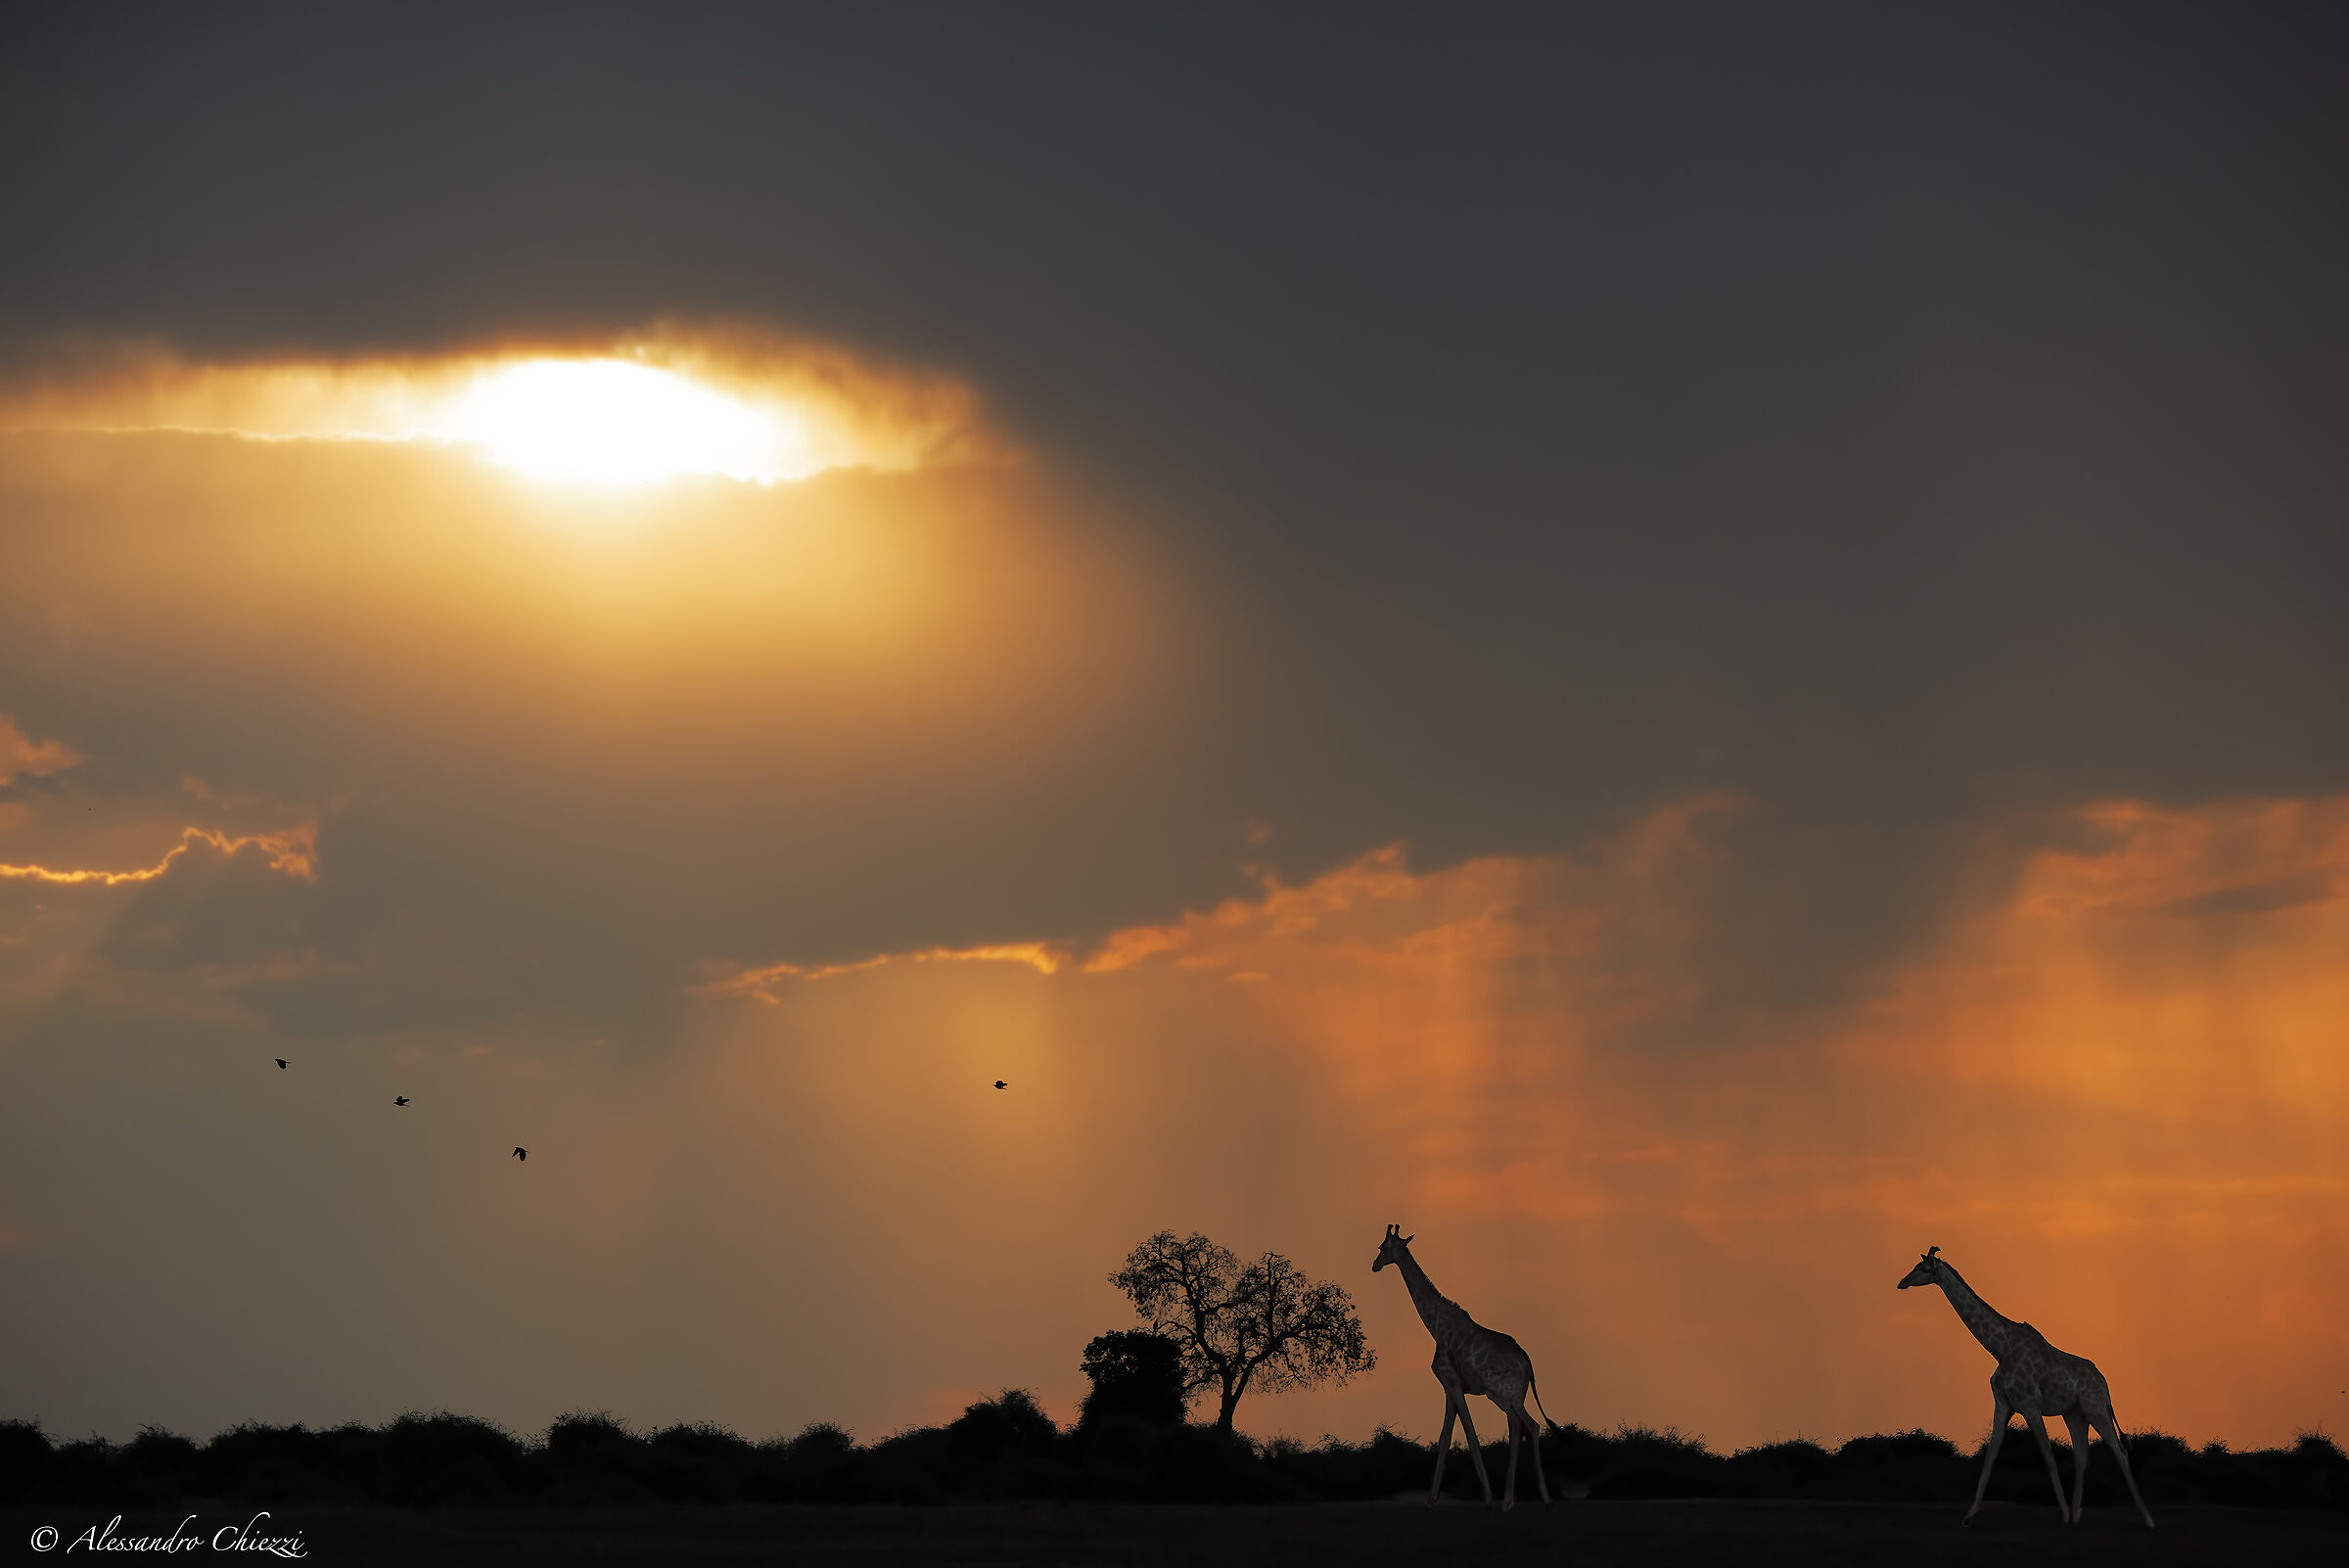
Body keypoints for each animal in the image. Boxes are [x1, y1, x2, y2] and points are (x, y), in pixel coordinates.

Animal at [1372, 1224, 1556, 1510]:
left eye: (1382, 1247)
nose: (1374, 1265)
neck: (1436, 1326)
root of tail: (1528, 1362)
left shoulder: (1452, 1382)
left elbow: (1468, 1433)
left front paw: (1487, 1497)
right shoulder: (1449, 1387)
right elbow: (1446, 1435)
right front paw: (1432, 1498)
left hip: (1502, 1394)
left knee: (1527, 1425)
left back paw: (1514, 1499)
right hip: (1514, 1397)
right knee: (1524, 1427)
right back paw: (1530, 1499)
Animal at [1897, 1247, 2155, 1529]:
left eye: (1923, 1269)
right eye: (1915, 1266)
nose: (1902, 1282)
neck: (2001, 1348)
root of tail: (2105, 1383)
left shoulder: (2030, 1405)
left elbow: (2048, 1457)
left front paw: (2063, 1515)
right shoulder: (2003, 1404)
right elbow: (1990, 1458)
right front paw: (1969, 1517)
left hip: (2095, 1409)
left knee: (2119, 1451)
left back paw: (2146, 1520)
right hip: (2074, 1413)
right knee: (2082, 1456)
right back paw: (2077, 1517)